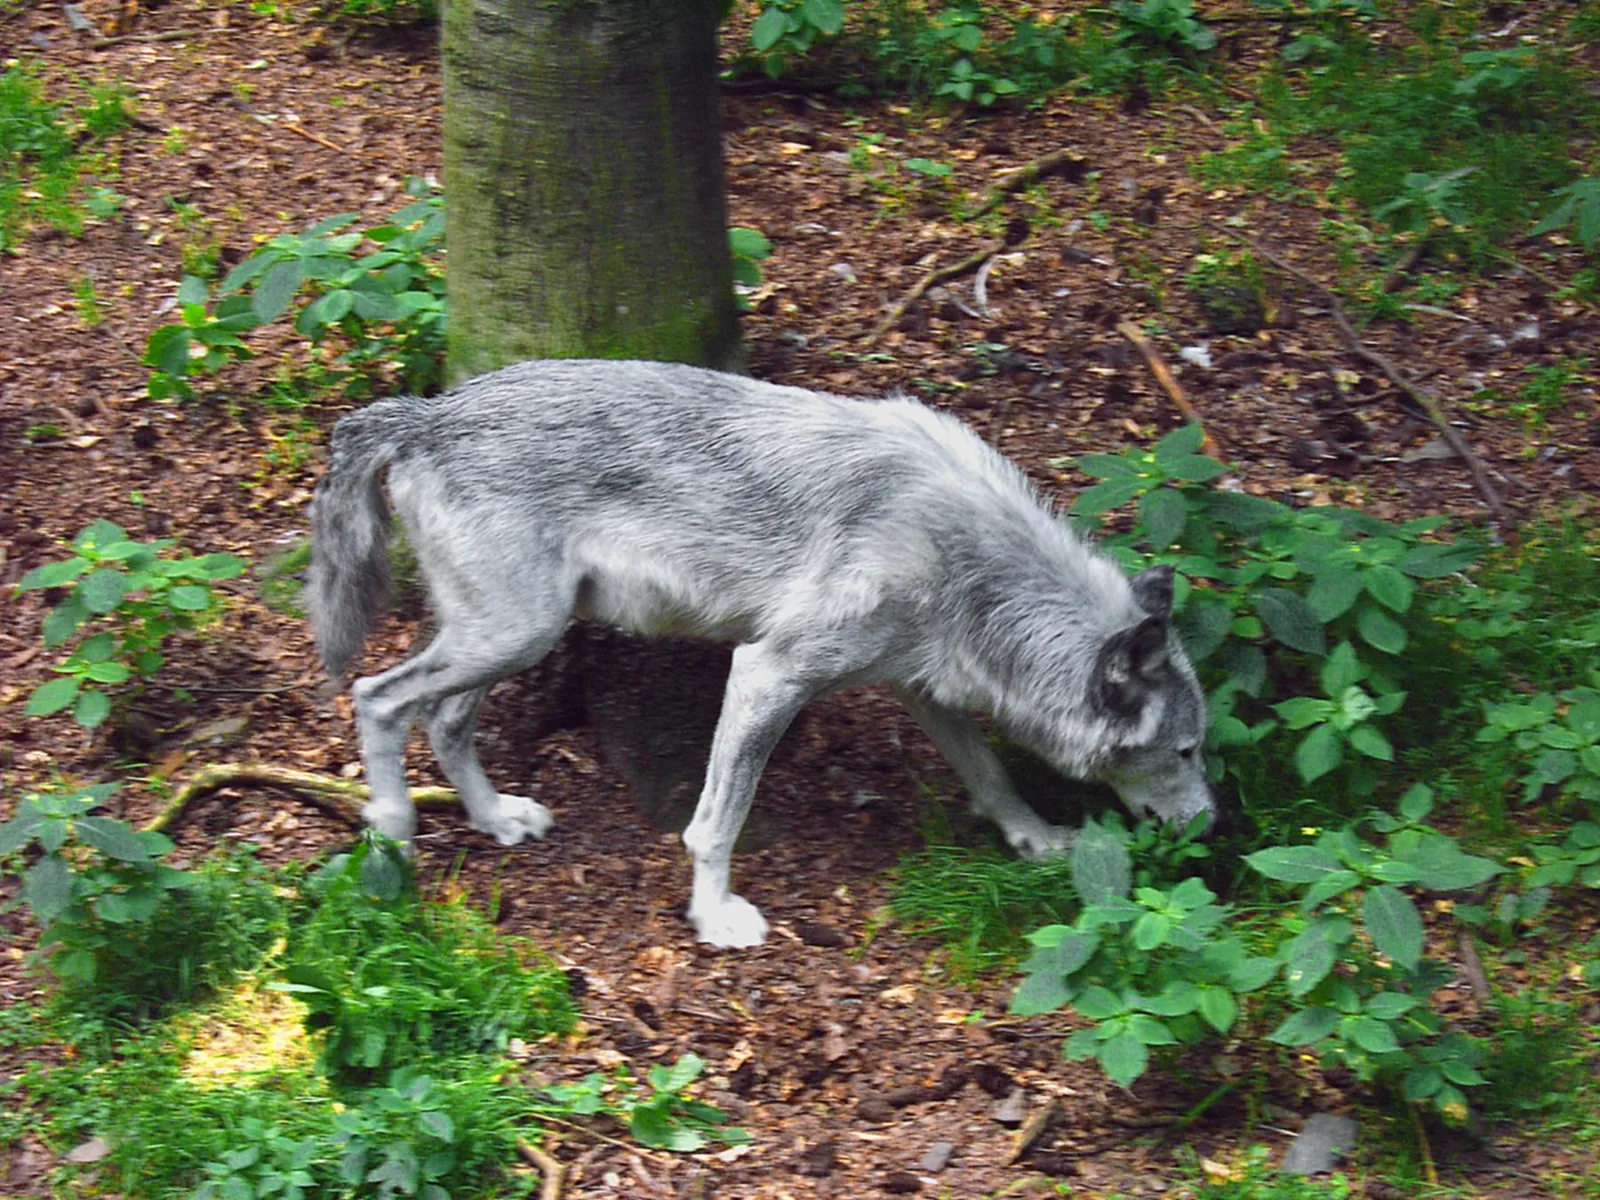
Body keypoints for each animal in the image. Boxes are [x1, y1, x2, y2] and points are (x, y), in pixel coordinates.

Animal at [307, 359, 1216, 948]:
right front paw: (715, 918)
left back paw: (497, 818)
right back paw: (392, 838)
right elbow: (717, 824)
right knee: (377, 697)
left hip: (513, 637)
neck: (974, 563)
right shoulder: (768, 674)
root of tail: (422, 415)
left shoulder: (921, 684)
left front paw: (1034, 838)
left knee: (443, 720)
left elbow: (989, 773)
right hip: (513, 631)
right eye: (1186, 750)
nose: (1215, 824)